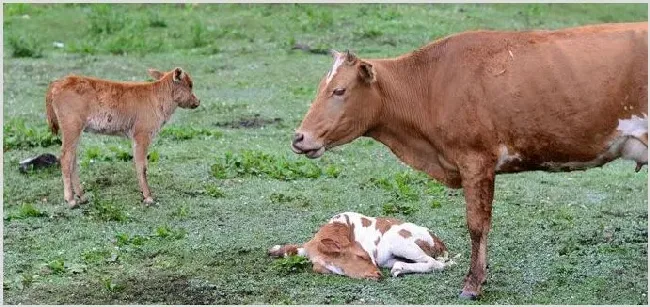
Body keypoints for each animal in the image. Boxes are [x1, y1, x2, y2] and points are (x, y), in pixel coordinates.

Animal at [45, 67, 199, 207]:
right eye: (189, 85)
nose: (197, 102)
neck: (157, 96)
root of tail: (59, 83)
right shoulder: (141, 135)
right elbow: (142, 166)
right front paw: (148, 197)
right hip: (72, 128)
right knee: (66, 157)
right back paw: (71, 199)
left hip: (75, 132)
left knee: (73, 158)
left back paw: (82, 196)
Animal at [268, 213, 450, 280]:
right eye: (333, 272)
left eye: (361, 256)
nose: (377, 275)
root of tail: (439, 243)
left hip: (399, 241)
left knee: (436, 264)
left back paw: (399, 269)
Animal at [292, 22, 644, 302]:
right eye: (321, 88)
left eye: (339, 90)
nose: (299, 137)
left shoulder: (475, 159)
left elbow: (477, 225)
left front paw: (473, 285)